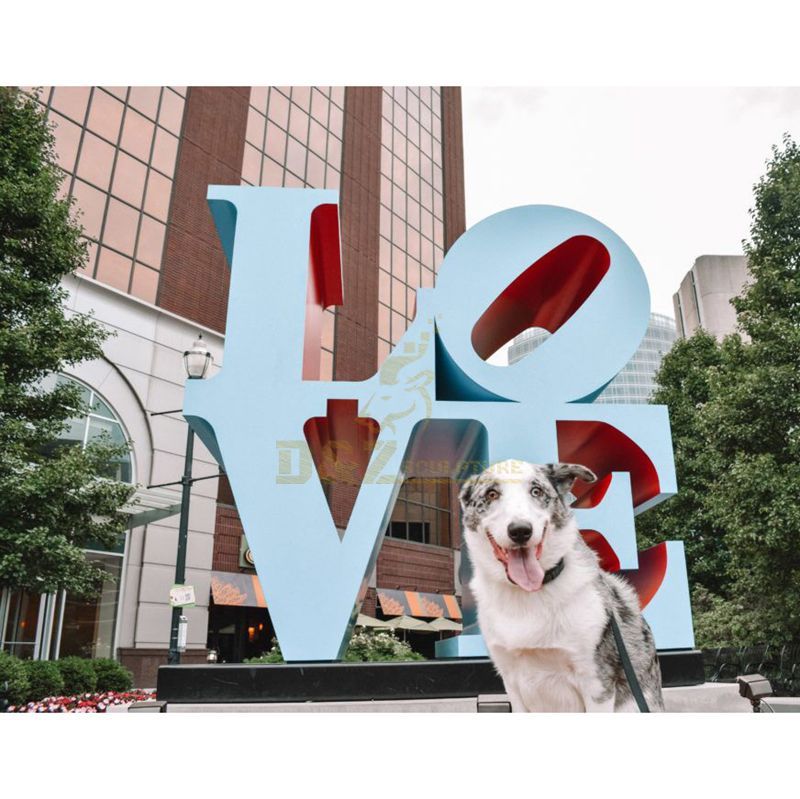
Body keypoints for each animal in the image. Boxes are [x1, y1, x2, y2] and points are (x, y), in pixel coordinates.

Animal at [460, 460, 664, 716]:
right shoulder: (511, 682)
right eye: (491, 494)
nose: (520, 530)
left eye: (536, 491)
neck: (528, 593)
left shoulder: (596, 682)